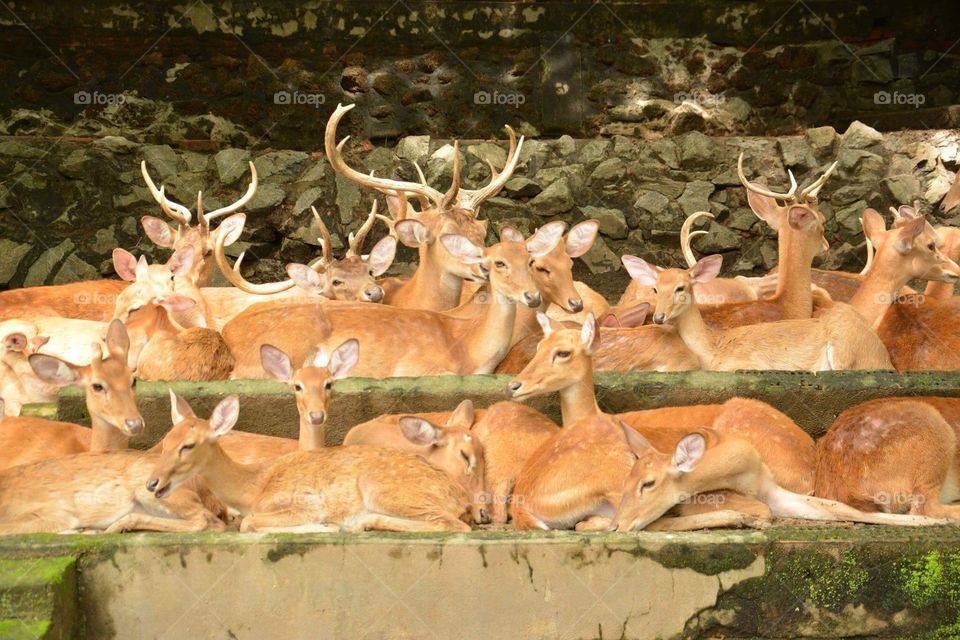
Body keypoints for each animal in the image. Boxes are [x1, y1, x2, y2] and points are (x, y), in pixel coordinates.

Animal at [147, 392, 474, 532]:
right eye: (167, 440)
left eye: (188, 445)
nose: (153, 482)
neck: (253, 488)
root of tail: (461, 497)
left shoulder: (306, 502)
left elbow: (249, 523)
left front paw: (322, 526)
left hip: (383, 489)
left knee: (453, 524)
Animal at [624, 253, 893, 371]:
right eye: (655, 288)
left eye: (681, 287)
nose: (659, 317)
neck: (713, 348)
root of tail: (885, 359)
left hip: (845, 348)